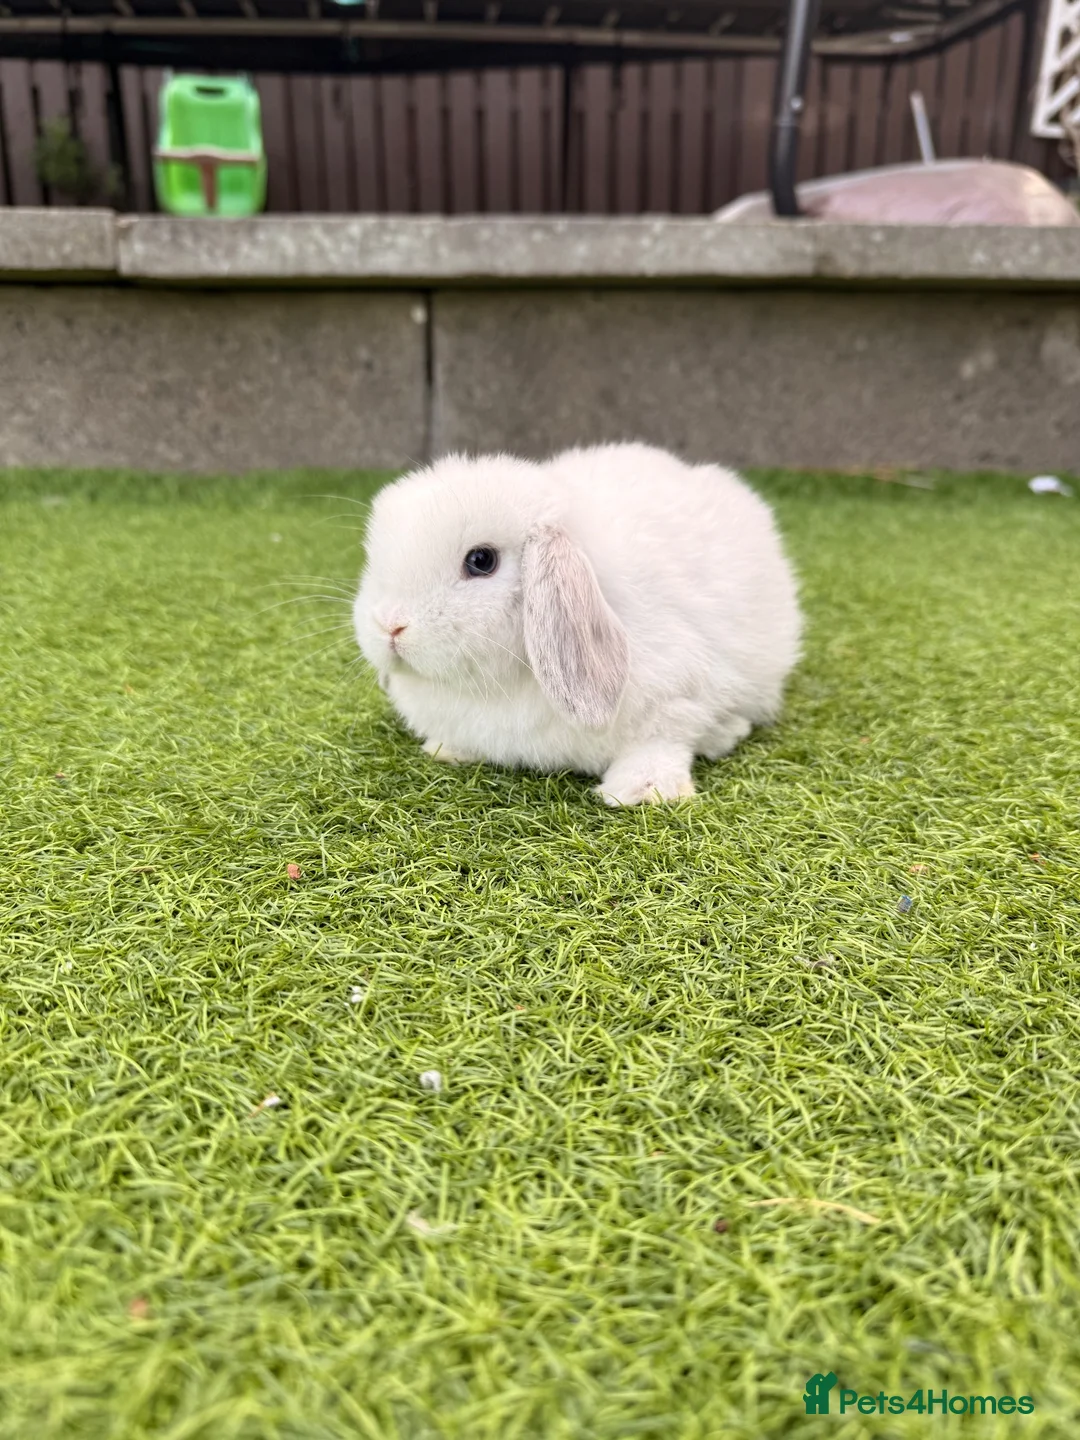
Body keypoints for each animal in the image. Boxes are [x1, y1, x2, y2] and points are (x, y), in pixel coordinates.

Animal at [352, 442, 801, 806]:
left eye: (481, 560)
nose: (390, 625)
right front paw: (446, 750)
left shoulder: (678, 695)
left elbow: (662, 741)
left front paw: (643, 791)